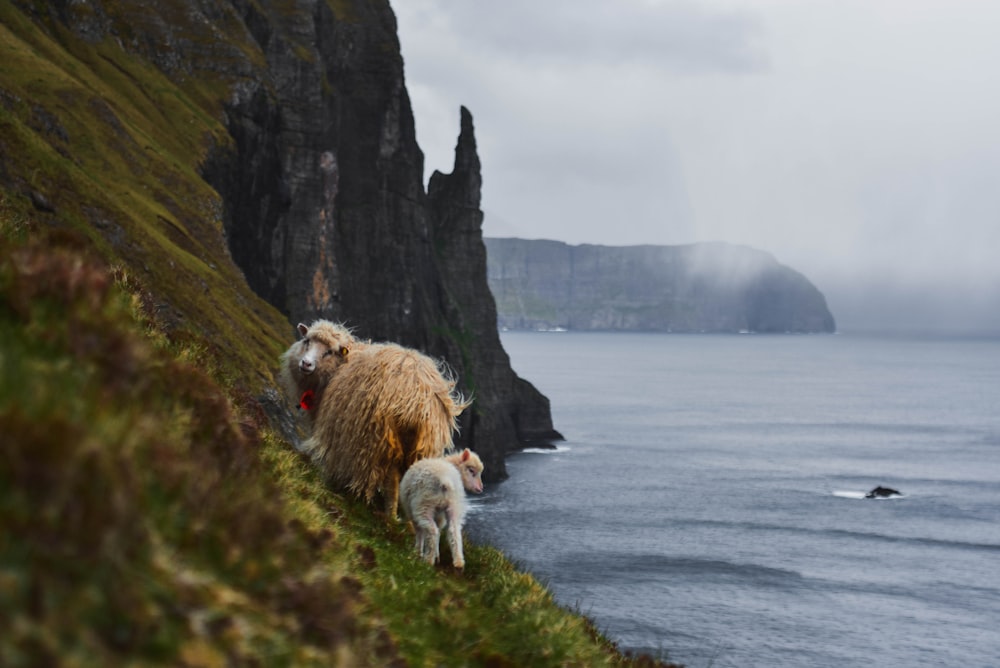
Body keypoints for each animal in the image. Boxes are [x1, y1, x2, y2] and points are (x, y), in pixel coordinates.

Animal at [280, 320, 470, 516]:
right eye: (307, 341)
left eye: (329, 352)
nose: (306, 363)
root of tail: (415, 401)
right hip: (423, 445)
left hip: (379, 440)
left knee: (391, 481)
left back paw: (390, 516)